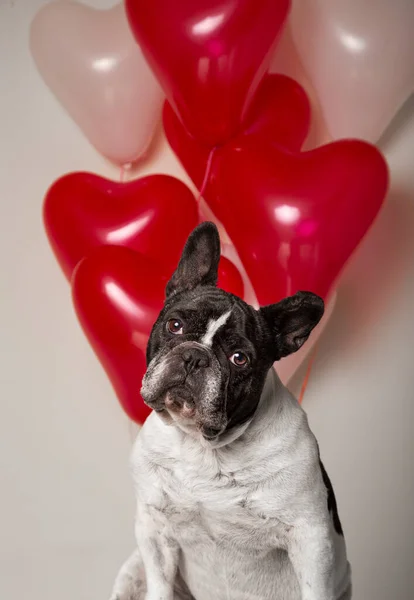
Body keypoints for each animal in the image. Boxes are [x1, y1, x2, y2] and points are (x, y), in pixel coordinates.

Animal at [111, 221, 352, 600]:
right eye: (175, 325)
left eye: (240, 358)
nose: (194, 357)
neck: (203, 448)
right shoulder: (153, 527)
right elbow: (159, 582)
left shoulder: (310, 538)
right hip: (131, 572)